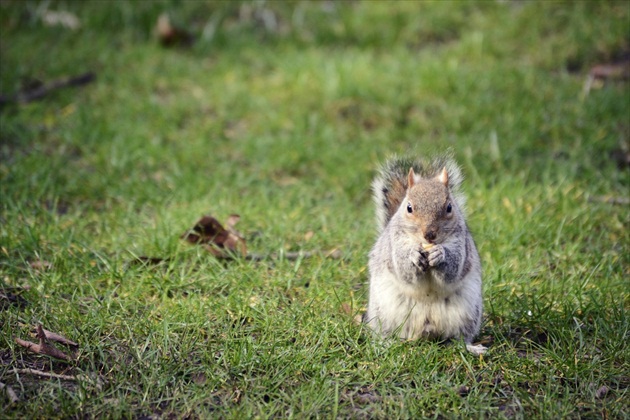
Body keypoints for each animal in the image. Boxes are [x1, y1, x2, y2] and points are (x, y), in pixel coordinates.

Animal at [366, 154, 488, 354]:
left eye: (449, 207)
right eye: (409, 208)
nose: (429, 234)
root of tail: (426, 332)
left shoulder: (460, 245)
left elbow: (453, 269)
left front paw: (440, 254)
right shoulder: (395, 244)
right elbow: (404, 270)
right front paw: (413, 255)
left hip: (467, 314)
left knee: (459, 338)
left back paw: (471, 348)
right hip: (383, 314)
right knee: (387, 333)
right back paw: (386, 343)